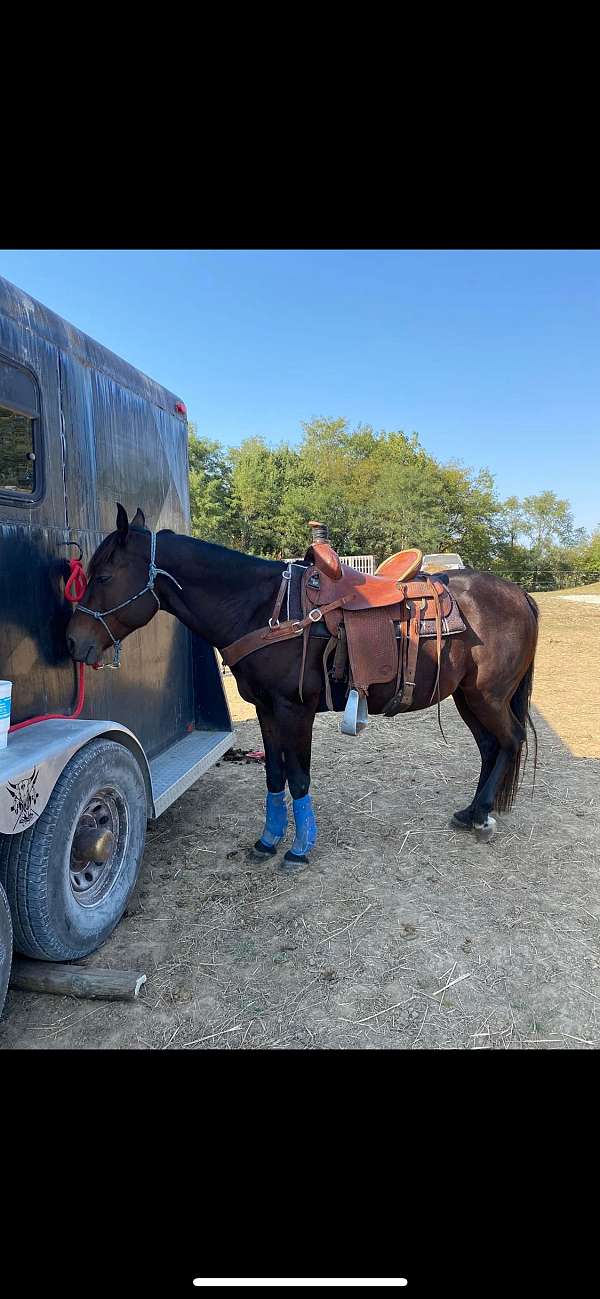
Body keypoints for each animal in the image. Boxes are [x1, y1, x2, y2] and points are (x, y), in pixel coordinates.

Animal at [66, 505, 539, 869]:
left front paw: (299, 849)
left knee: (510, 740)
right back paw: (473, 812)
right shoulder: (265, 708)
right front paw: (267, 841)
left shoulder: (295, 708)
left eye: (104, 576)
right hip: (467, 697)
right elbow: (275, 775)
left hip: (488, 696)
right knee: (490, 747)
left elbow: (298, 777)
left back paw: (482, 815)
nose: (74, 640)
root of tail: (519, 594)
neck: (263, 609)